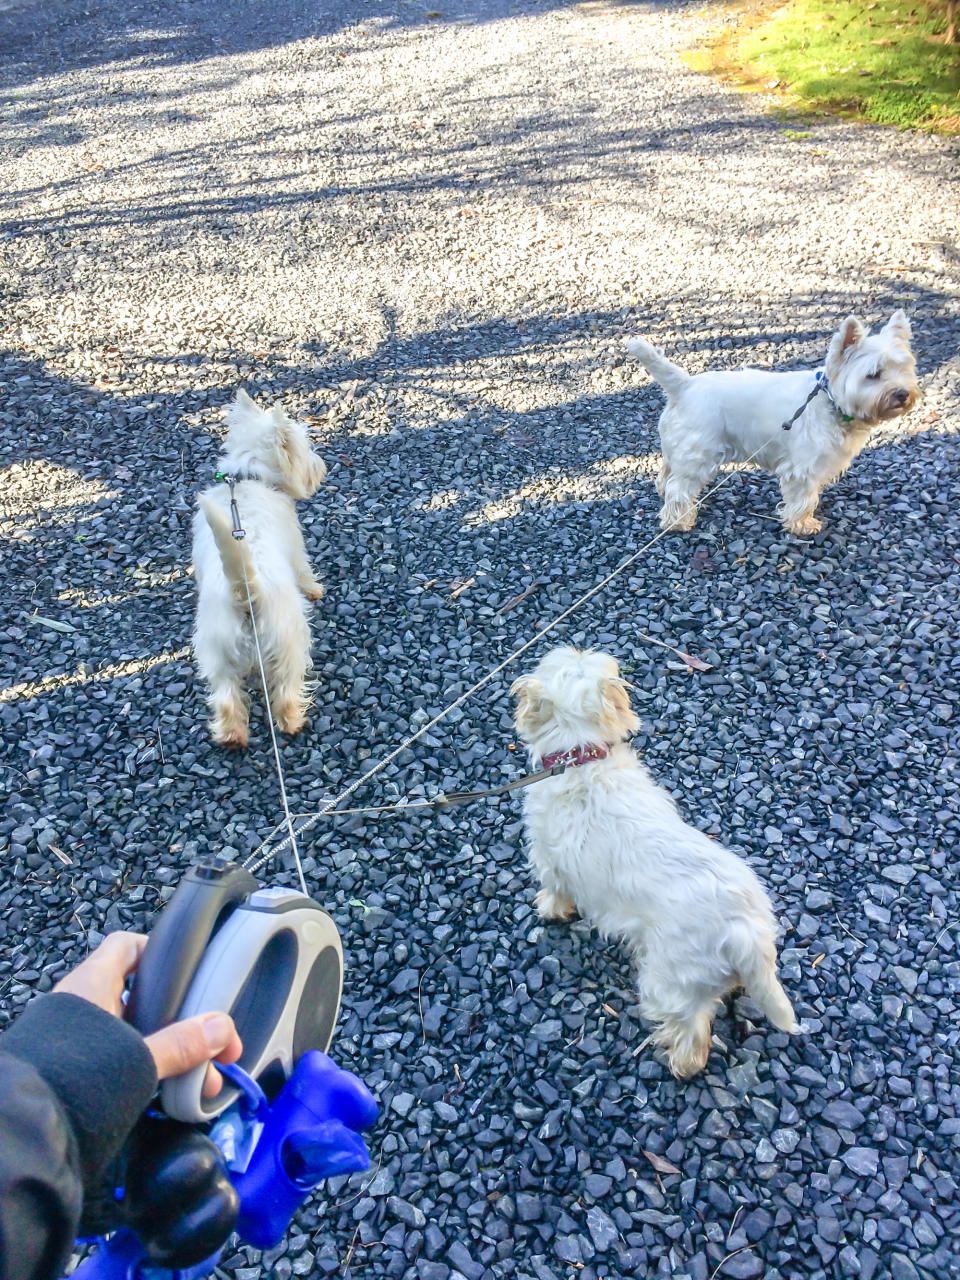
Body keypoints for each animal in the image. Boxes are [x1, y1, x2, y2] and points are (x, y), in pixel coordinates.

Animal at [193, 389, 330, 747]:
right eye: (305, 446)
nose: (321, 466)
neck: (247, 478)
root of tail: (244, 591)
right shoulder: (296, 545)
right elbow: (304, 571)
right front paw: (315, 590)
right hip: (290, 638)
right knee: (286, 685)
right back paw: (293, 720)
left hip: (216, 650)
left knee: (226, 696)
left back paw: (231, 736)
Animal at [514, 650, 798, 1080]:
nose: (605, 658)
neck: (582, 758)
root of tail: (745, 930)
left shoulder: (549, 859)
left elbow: (556, 892)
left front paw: (549, 910)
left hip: (667, 979)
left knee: (691, 1028)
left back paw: (681, 1062)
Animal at [627, 309, 921, 535]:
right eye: (873, 374)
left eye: (904, 369)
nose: (902, 394)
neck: (830, 400)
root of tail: (684, 385)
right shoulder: (802, 467)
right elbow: (804, 498)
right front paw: (803, 525)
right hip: (699, 452)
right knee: (678, 487)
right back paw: (678, 521)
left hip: (679, 447)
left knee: (667, 473)